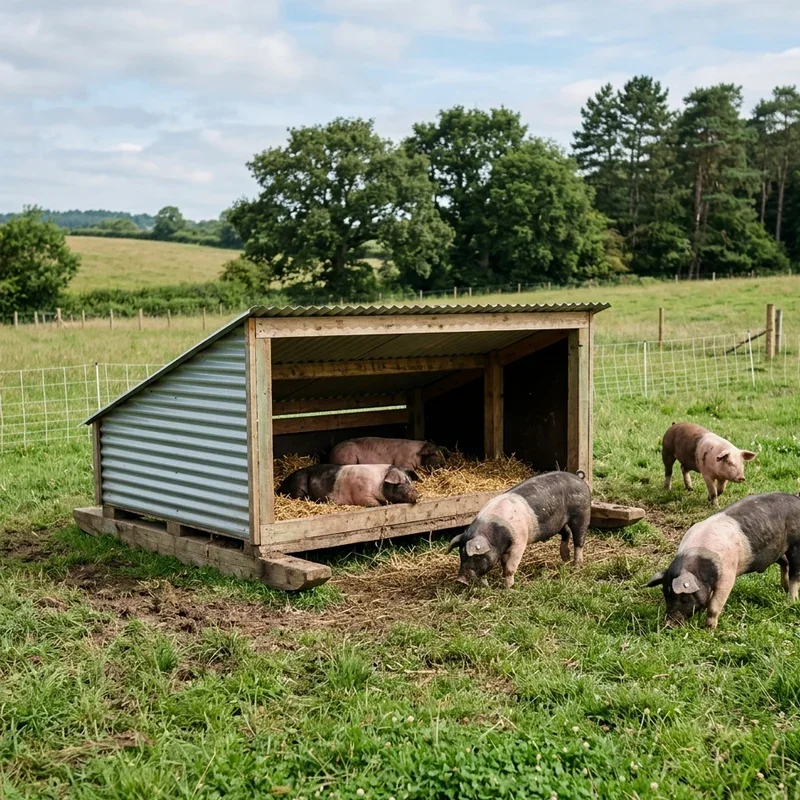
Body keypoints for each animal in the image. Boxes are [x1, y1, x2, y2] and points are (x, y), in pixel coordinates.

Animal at [277, 463, 418, 507]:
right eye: (400, 483)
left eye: (410, 481)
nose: (416, 493)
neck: (379, 484)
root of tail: (280, 486)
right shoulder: (363, 496)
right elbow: (375, 504)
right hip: (299, 484)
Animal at [448, 471, 591, 588]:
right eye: (461, 554)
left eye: (476, 557)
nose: (460, 580)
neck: (496, 533)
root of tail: (579, 478)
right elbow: (504, 563)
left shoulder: (519, 542)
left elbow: (510, 567)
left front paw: (508, 588)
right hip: (557, 523)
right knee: (566, 533)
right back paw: (565, 559)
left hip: (582, 513)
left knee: (579, 540)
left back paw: (576, 566)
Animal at [647, 492, 800, 629]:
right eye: (666, 595)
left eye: (684, 598)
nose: (669, 625)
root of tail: (795, 498)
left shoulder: (727, 576)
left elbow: (714, 607)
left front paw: (709, 630)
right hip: (777, 550)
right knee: (785, 563)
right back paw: (784, 587)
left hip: (795, 544)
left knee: (795, 573)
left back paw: (791, 601)